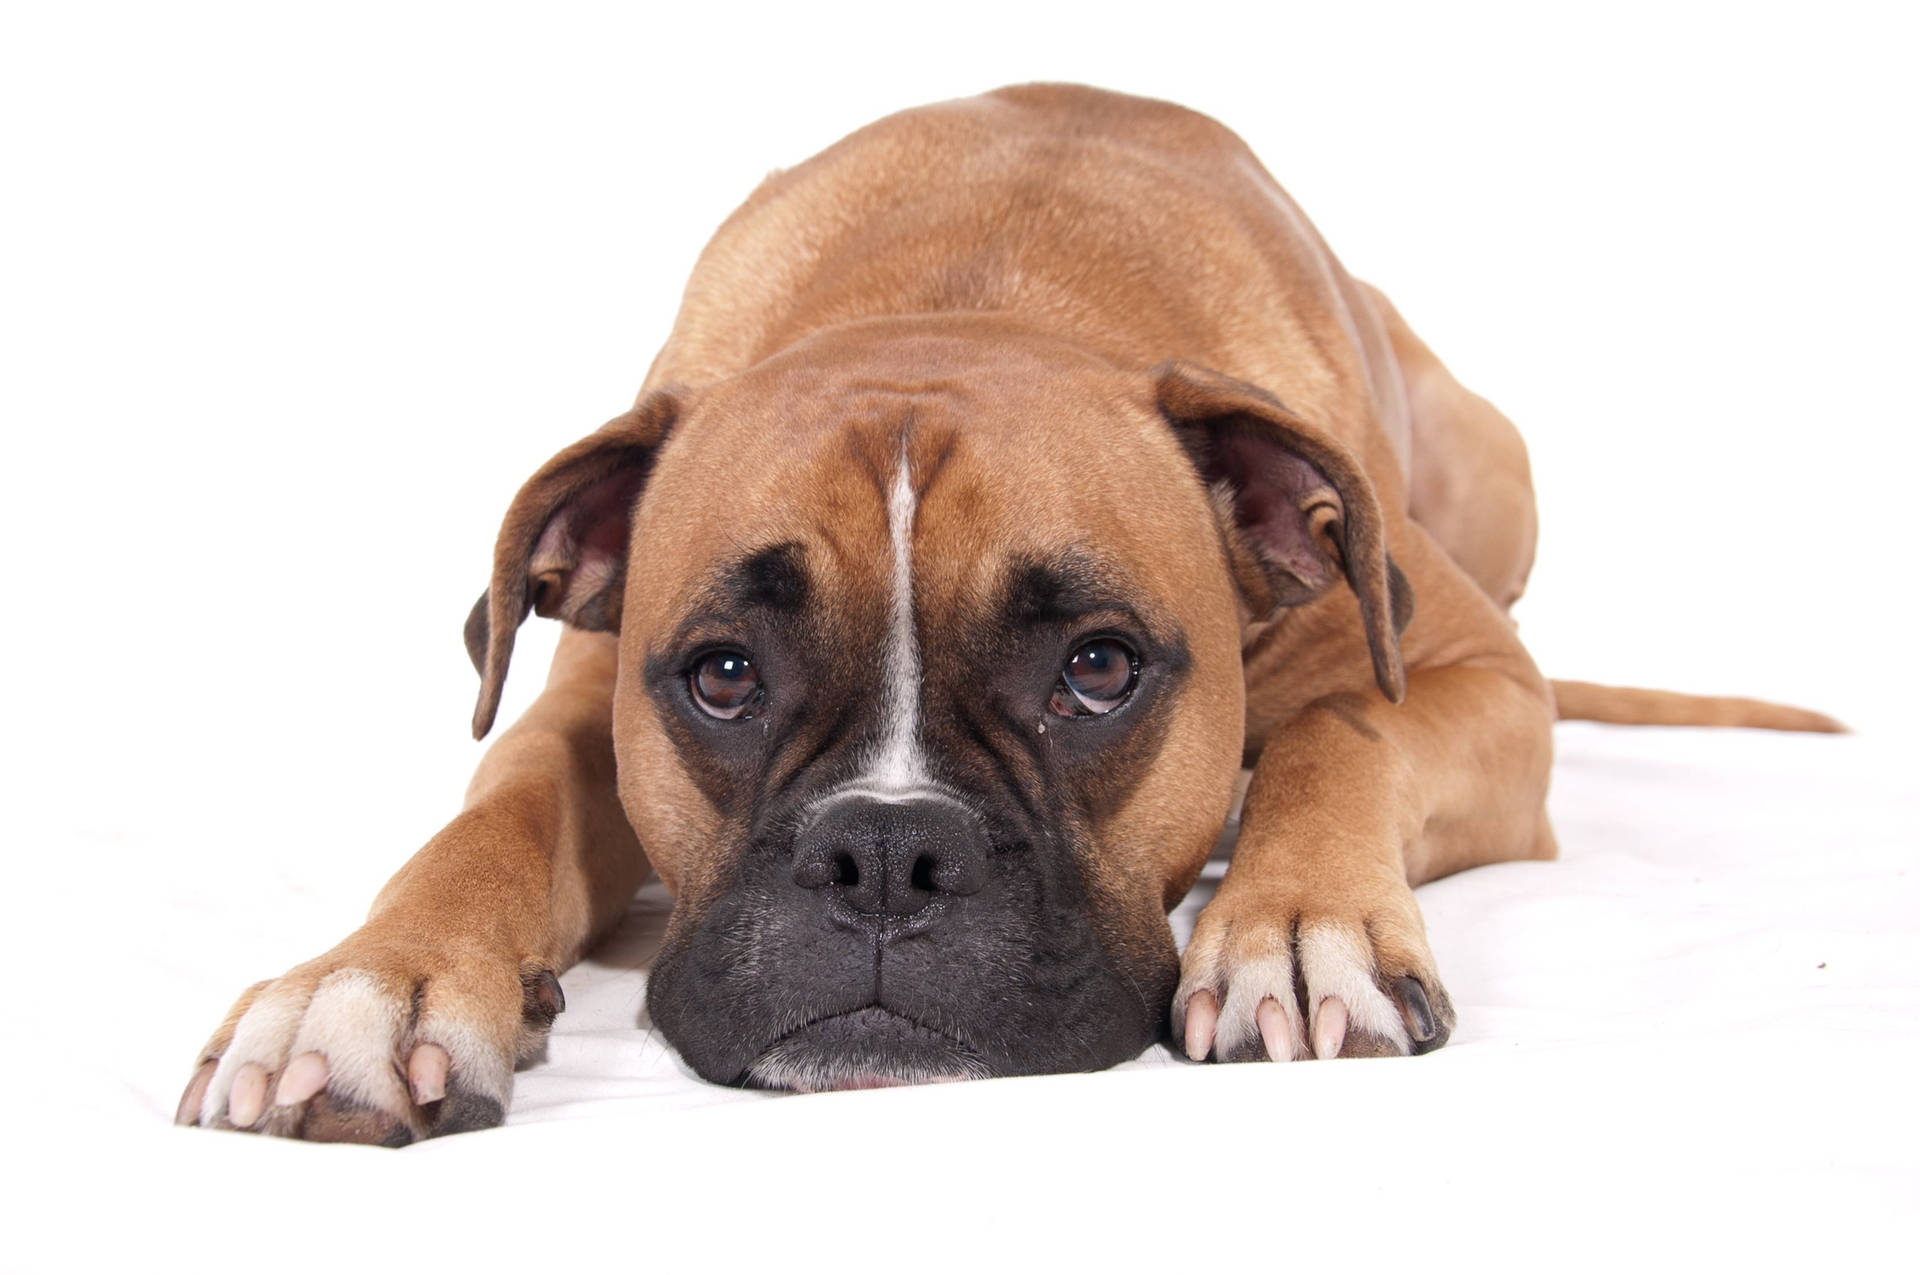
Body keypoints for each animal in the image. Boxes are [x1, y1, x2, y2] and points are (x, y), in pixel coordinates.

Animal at [180, 84, 1843, 1136]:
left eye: (1098, 669)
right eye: (721, 675)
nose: (884, 852)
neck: (971, 295)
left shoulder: (1480, 676)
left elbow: (1344, 729)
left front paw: (1296, 923)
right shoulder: (584, 693)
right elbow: (496, 809)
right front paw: (367, 982)